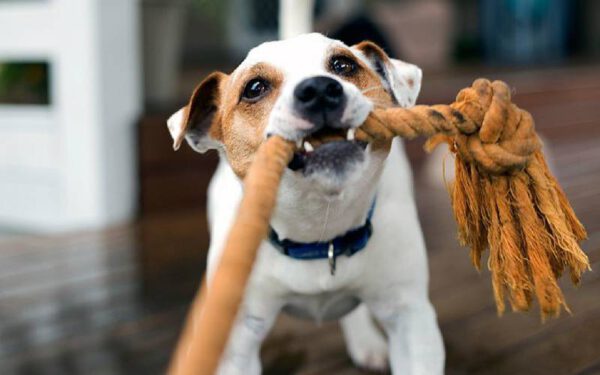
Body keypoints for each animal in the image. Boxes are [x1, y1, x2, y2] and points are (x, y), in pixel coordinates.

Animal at [166, 33, 442, 375]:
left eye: (343, 65)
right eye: (254, 88)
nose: (319, 89)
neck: (319, 233)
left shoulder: (411, 319)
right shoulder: (237, 340)